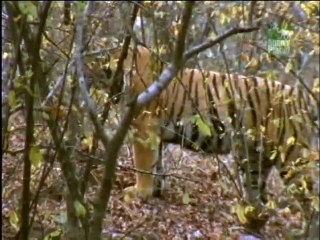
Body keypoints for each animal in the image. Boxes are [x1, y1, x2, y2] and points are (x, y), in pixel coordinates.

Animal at [94, 44, 318, 225]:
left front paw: (139, 193)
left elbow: (143, 164)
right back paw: (250, 219)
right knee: (257, 192)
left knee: (310, 197)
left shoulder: (144, 127)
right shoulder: (155, 133)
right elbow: (157, 164)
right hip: (254, 156)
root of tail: (304, 98)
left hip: (292, 157)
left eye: (100, 67)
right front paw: (155, 192)